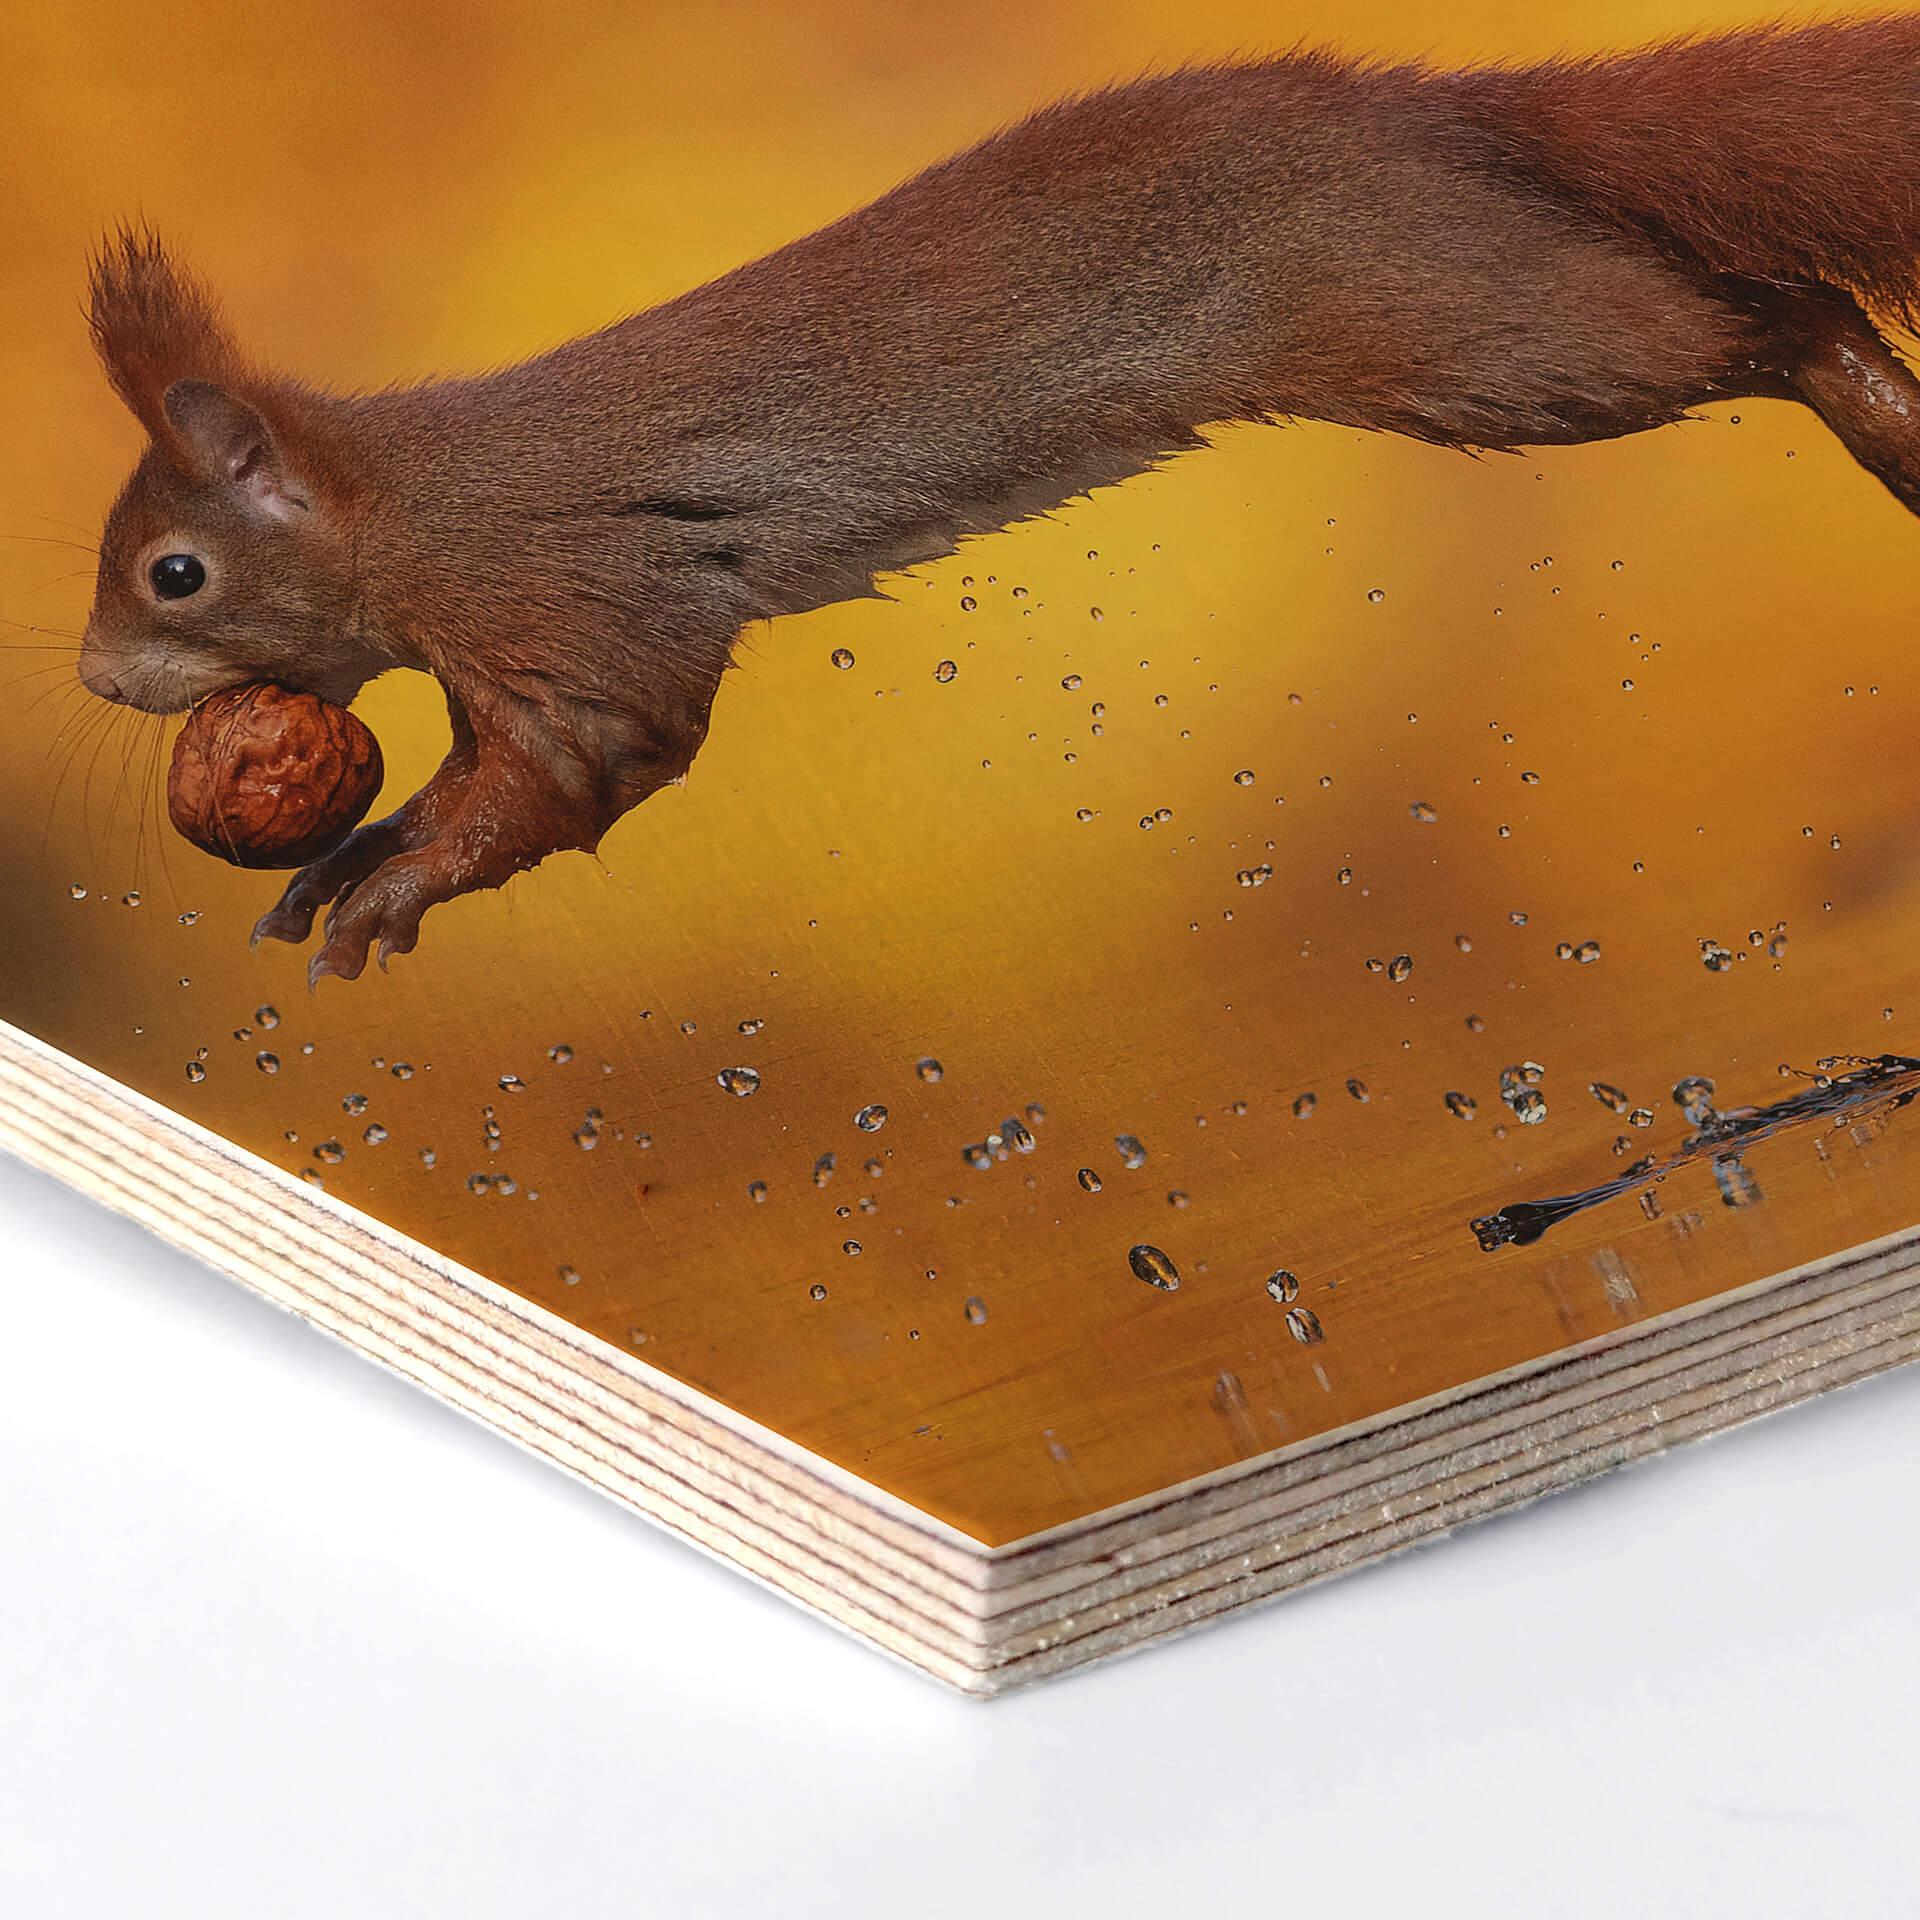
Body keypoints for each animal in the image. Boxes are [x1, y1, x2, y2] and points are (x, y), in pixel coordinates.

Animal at [77, 17, 1920, 983]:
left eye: (172, 574)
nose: (93, 678)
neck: (409, 507)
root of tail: (1433, 117)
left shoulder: (580, 612)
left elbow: (583, 770)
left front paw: (397, 891)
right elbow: (469, 783)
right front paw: (349, 861)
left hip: (1471, 334)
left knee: (1776, 314)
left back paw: (1879, 408)